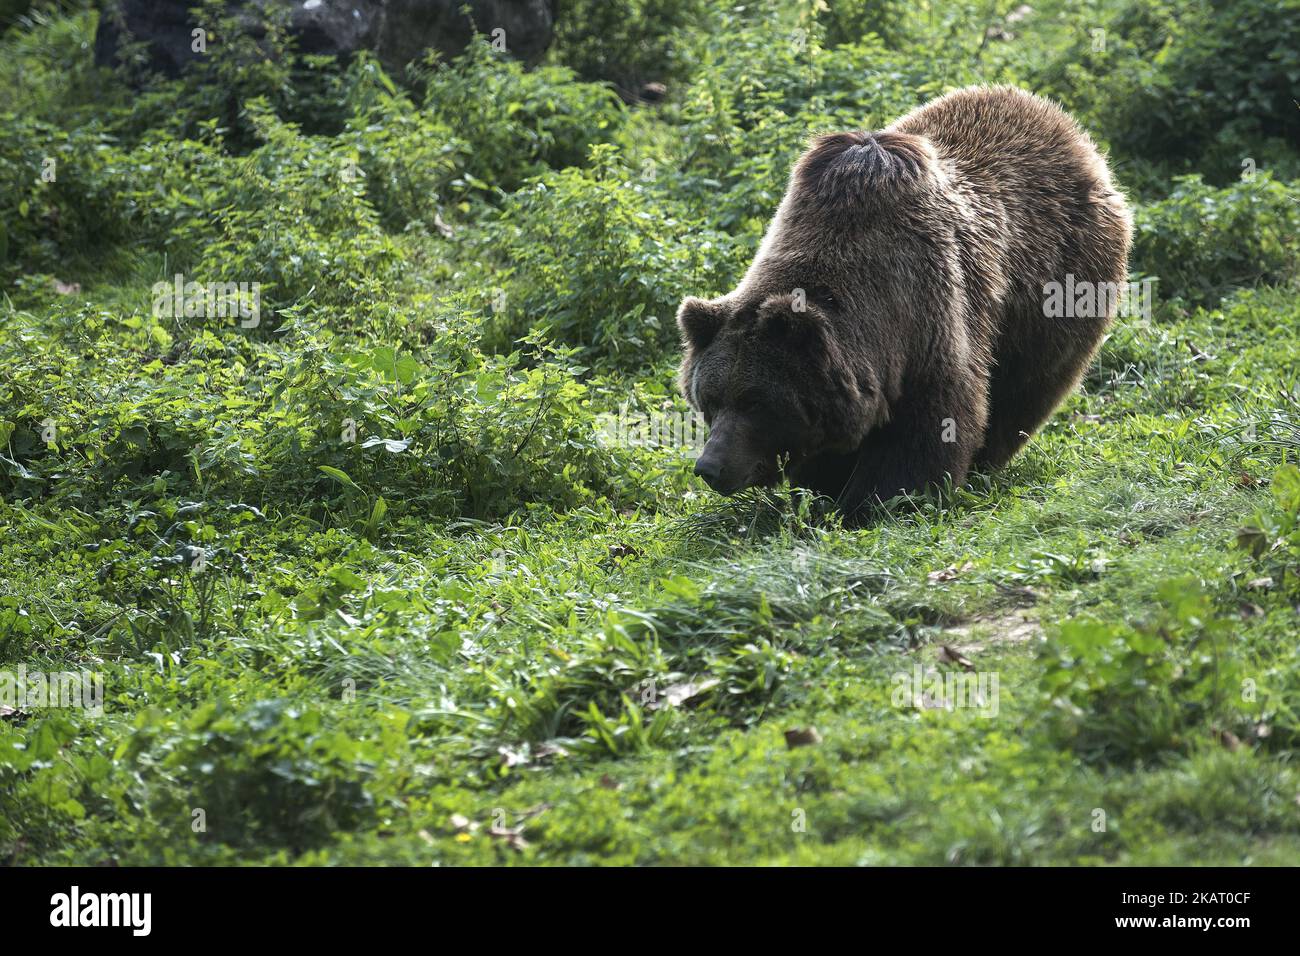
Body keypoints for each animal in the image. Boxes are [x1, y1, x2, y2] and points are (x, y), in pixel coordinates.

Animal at [676, 85, 1133, 520]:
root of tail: (1067, 127)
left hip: (1058, 284)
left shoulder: (928, 319)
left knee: (1025, 386)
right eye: (710, 399)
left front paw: (876, 502)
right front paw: (824, 490)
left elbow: (929, 428)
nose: (710, 468)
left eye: (755, 401)